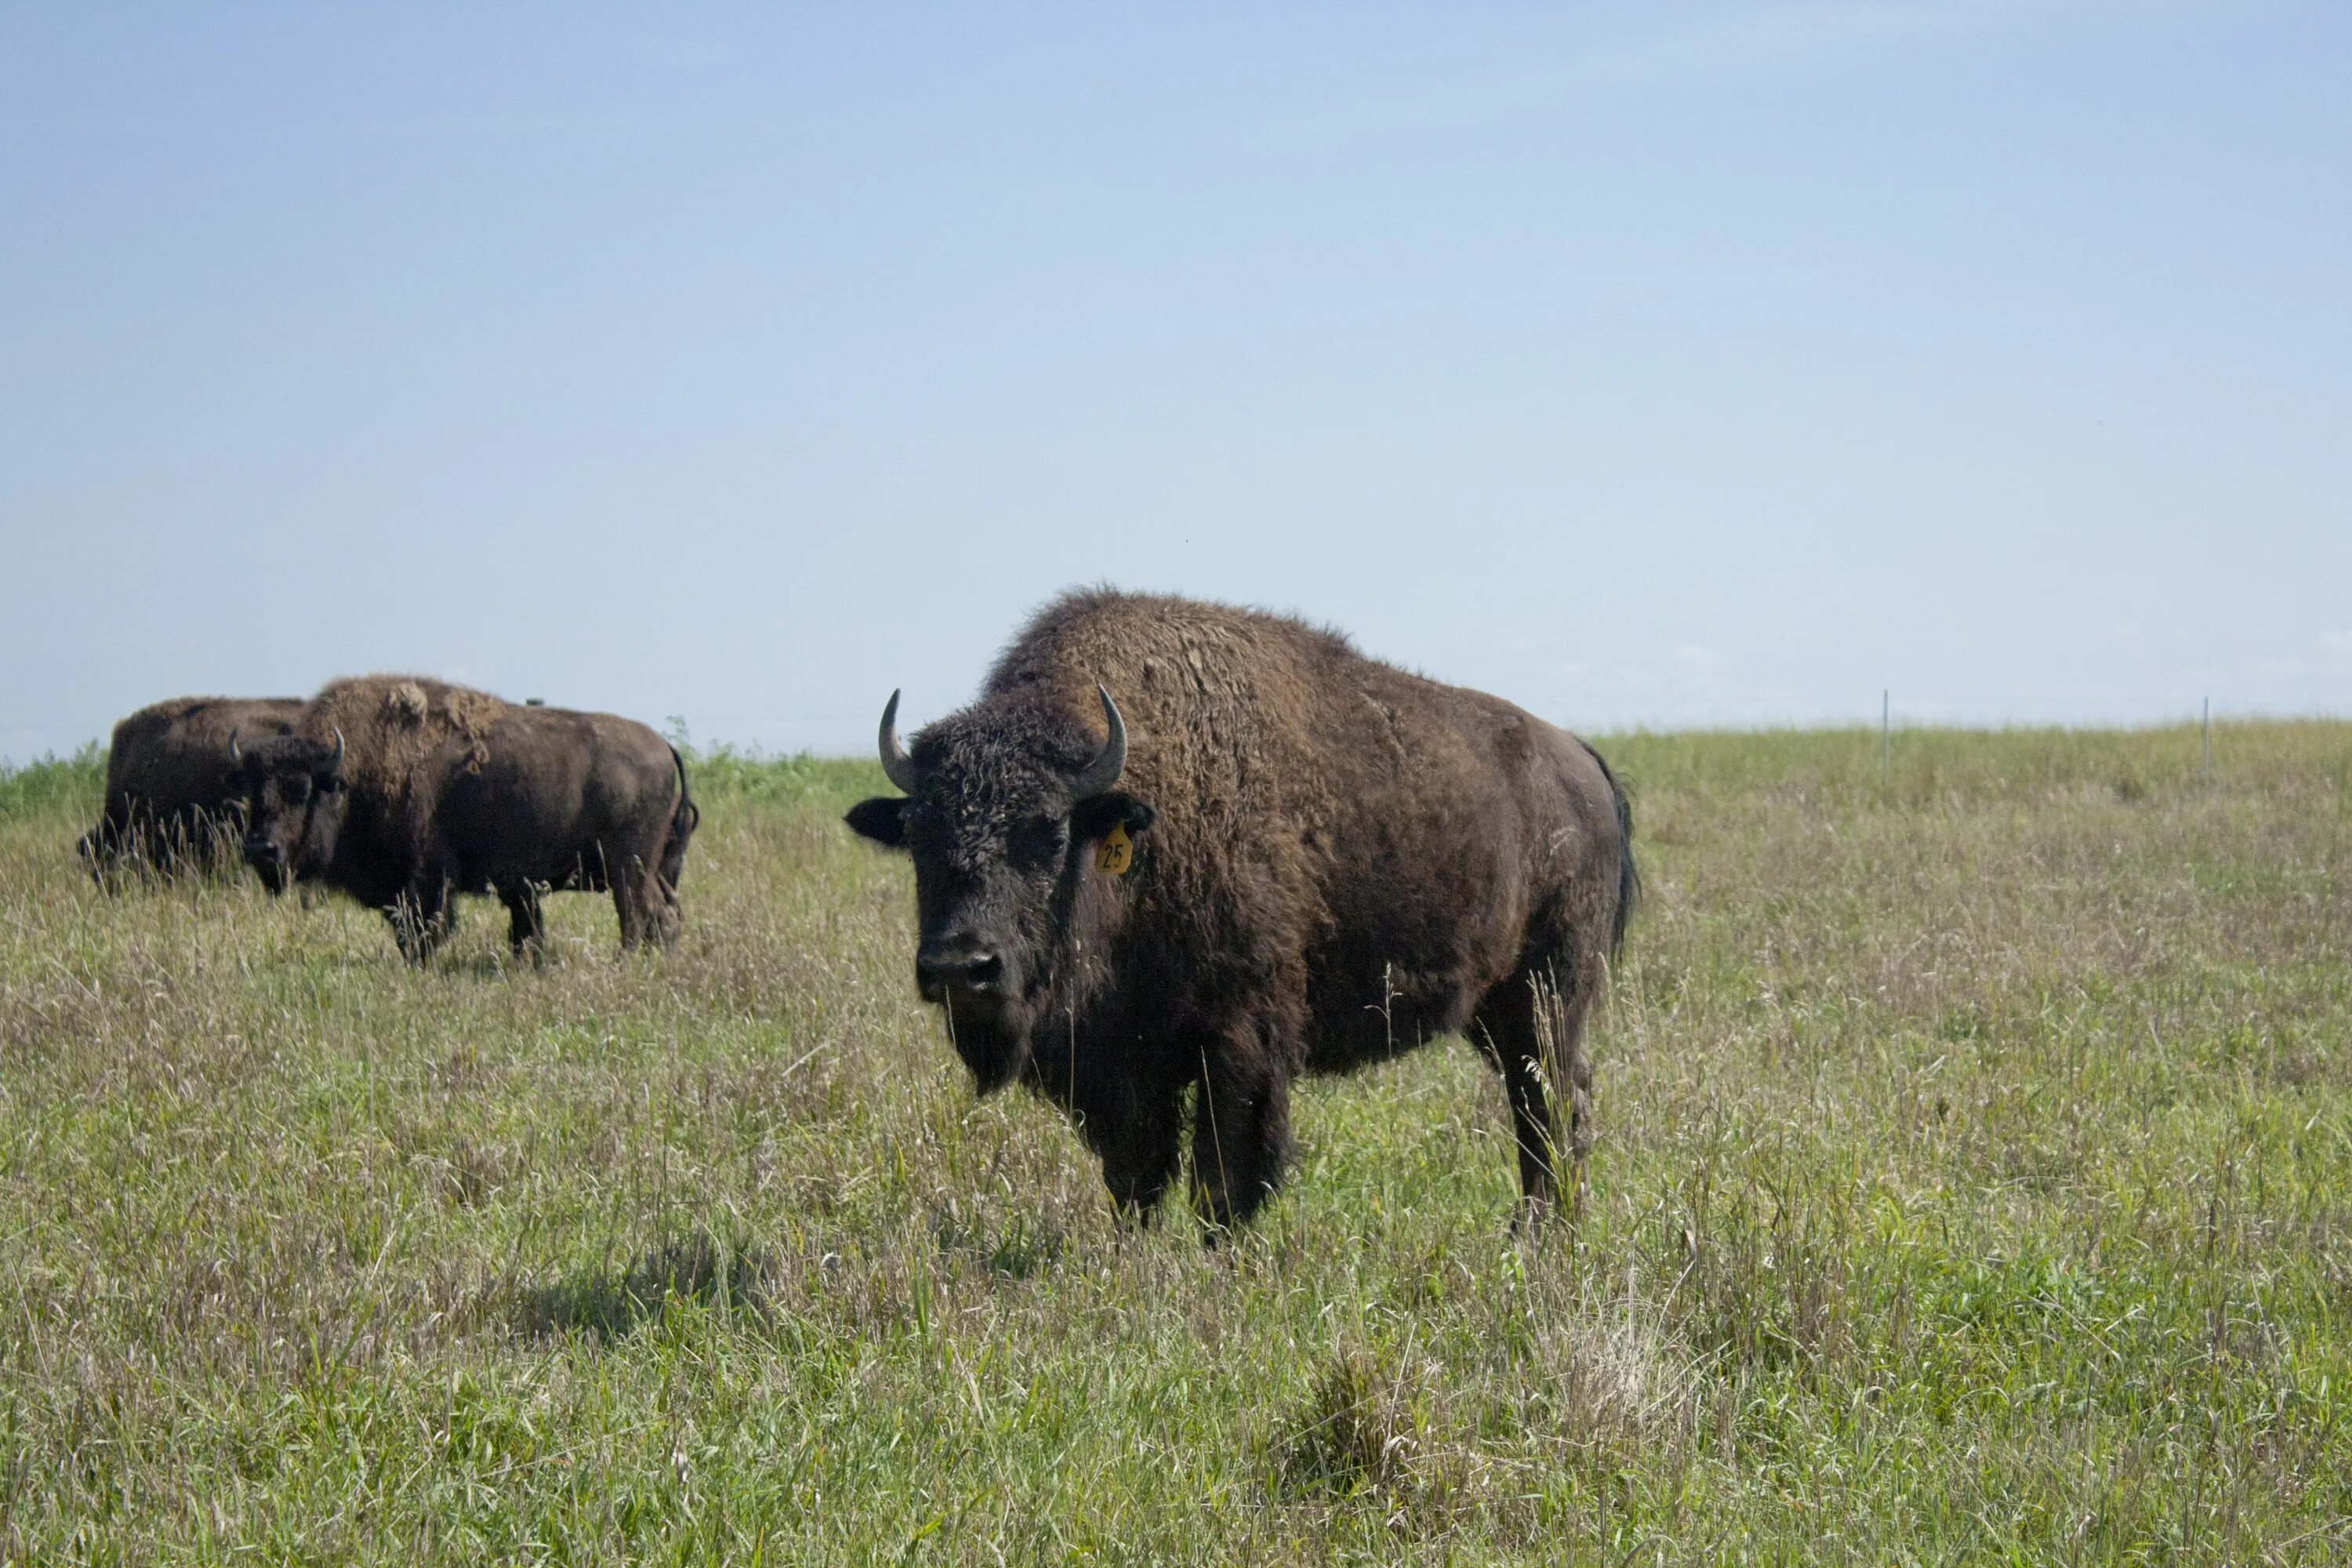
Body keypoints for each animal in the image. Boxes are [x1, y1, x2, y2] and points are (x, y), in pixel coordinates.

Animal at [236, 677, 696, 964]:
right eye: (253, 791)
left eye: (301, 789)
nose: (260, 848)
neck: (351, 774)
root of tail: (663, 745)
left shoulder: (426, 879)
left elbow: (425, 927)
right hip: (647, 868)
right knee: (662, 915)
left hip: (627, 867)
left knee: (639, 915)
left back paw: (625, 962)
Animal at [847, 592, 1637, 1241]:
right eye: (918, 831)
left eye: (1048, 831)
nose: (962, 968)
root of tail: (1584, 764)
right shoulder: (1118, 1060)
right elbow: (1135, 1172)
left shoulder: (1239, 1035)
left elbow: (1225, 1170)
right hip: (1495, 1007)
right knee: (1545, 1103)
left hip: (1549, 992)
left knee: (1550, 1103)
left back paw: (1538, 1235)